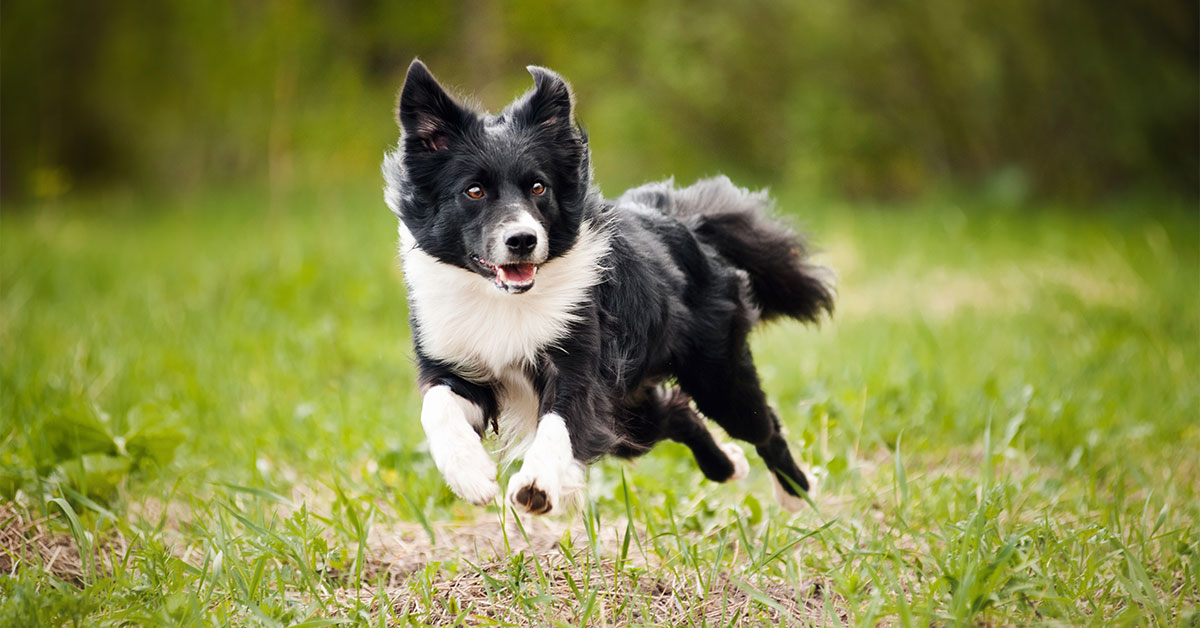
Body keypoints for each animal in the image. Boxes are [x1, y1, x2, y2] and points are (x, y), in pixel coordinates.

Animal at [386, 61, 835, 516]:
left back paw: (796, 491)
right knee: (675, 413)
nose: (523, 240)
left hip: (717, 376)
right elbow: (436, 406)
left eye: (538, 187)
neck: (504, 300)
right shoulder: (454, 359)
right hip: (630, 410)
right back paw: (728, 466)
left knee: (762, 426)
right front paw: (470, 475)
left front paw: (536, 485)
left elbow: (561, 421)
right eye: (474, 191)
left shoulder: (580, 359)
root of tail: (684, 221)